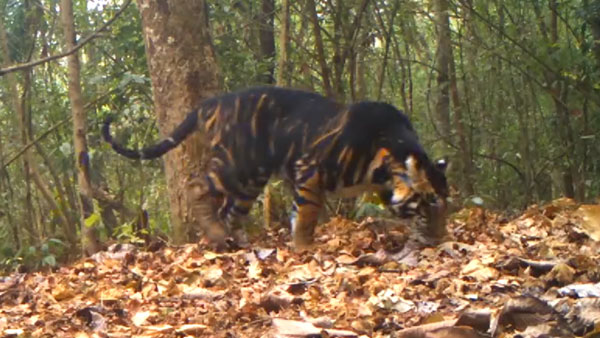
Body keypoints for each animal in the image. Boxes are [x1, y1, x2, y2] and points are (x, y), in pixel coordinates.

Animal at [103, 86, 448, 251]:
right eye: (428, 202)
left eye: (445, 204)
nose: (440, 238)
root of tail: (210, 103)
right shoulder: (310, 170)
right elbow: (306, 216)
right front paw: (304, 249)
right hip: (236, 166)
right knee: (196, 186)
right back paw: (216, 232)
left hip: (250, 182)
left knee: (229, 209)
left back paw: (232, 239)